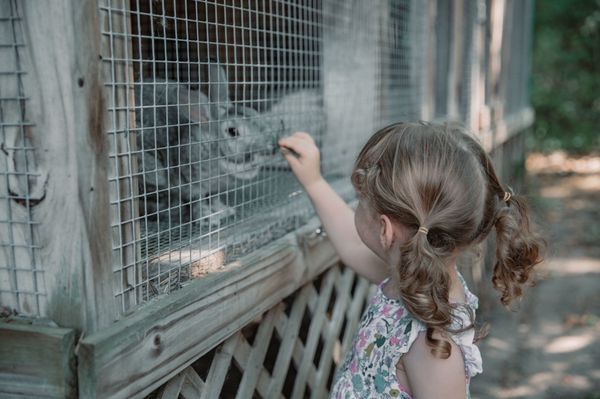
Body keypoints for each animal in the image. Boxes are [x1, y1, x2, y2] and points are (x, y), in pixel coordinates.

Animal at [135, 64, 272, 230]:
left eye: (254, 113)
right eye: (232, 131)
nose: (269, 148)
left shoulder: (213, 190)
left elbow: (213, 198)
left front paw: (225, 211)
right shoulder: (191, 185)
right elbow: (198, 202)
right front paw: (209, 219)